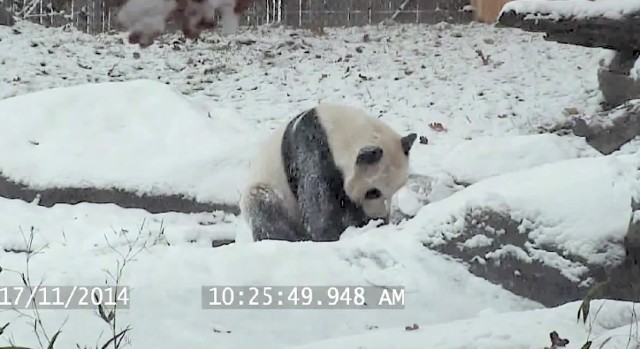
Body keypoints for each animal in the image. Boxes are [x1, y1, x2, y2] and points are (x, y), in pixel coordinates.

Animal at [238, 102, 418, 241]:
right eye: (373, 192)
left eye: (394, 190)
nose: (379, 217)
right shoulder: (312, 150)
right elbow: (318, 204)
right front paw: (331, 235)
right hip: (268, 191)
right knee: (265, 209)